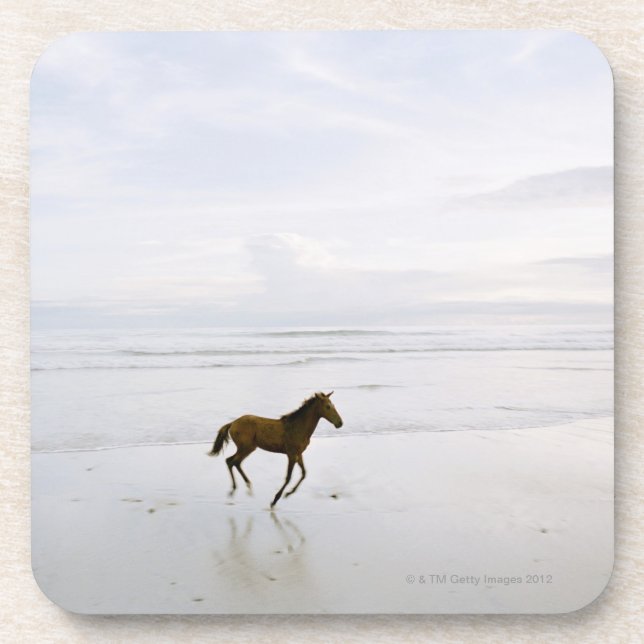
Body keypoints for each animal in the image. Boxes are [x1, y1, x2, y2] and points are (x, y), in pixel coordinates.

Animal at [209, 391, 343, 507]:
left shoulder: (298, 453)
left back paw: (244, 487)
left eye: (333, 405)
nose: (340, 423)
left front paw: (288, 494)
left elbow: (304, 473)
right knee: (232, 461)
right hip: (246, 448)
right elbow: (288, 477)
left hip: (247, 448)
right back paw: (237, 489)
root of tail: (232, 424)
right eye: (327, 407)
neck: (298, 428)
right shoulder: (291, 454)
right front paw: (275, 500)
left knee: (232, 461)